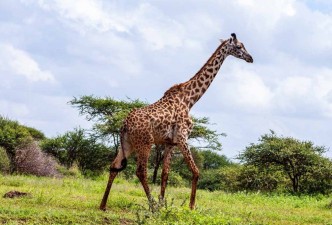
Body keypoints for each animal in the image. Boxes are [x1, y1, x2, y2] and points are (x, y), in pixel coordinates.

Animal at [100, 33, 253, 211]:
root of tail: (124, 125)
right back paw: (151, 206)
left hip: (128, 143)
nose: (250, 58)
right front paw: (191, 206)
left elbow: (165, 174)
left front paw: (163, 204)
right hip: (145, 142)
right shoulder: (182, 137)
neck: (190, 99)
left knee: (114, 166)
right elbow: (195, 171)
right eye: (239, 46)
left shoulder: (170, 143)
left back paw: (103, 205)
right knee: (140, 171)